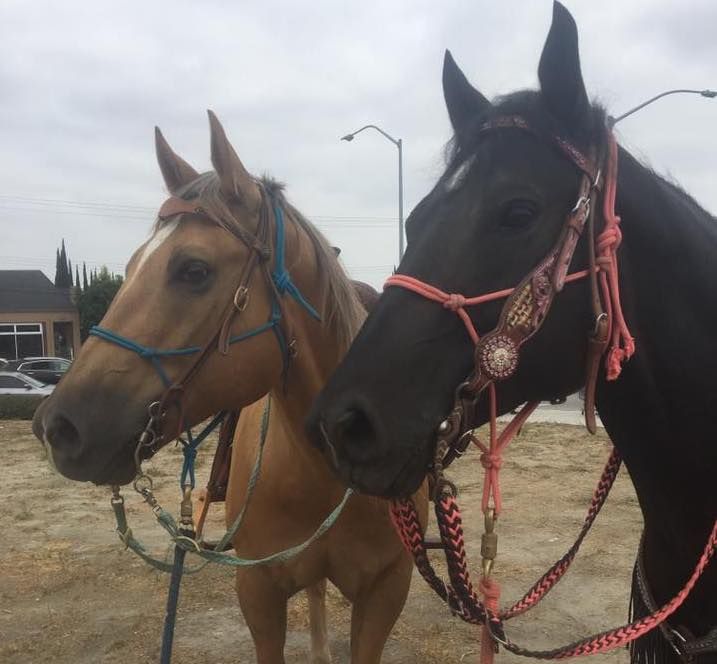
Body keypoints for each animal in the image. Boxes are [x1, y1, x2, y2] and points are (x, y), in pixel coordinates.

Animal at [33, 111, 427, 664]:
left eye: (193, 270)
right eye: (129, 267)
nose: (56, 428)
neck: (325, 471)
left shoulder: (386, 591)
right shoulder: (258, 592)